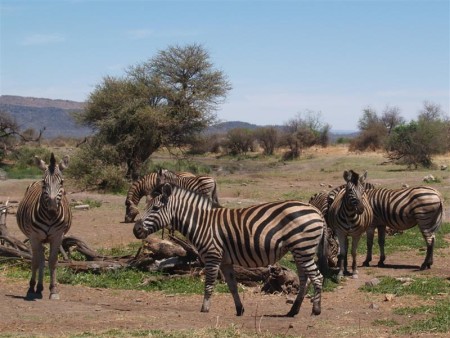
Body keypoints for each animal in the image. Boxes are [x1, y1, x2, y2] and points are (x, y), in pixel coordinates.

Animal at [15, 153, 71, 298]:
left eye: (62, 182)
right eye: (44, 183)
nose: (52, 210)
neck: (49, 218)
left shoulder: (57, 236)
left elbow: (52, 261)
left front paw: (53, 290)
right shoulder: (34, 237)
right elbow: (35, 261)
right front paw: (31, 288)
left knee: (42, 259)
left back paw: (40, 287)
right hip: (36, 238)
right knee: (38, 258)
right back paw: (37, 287)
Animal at [132, 182, 326, 316]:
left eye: (155, 208)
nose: (136, 230)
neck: (202, 223)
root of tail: (316, 210)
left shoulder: (212, 255)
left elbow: (209, 283)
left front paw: (204, 309)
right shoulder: (225, 261)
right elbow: (232, 286)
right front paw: (240, 309)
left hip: (303, 249)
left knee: (317, 277)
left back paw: (316, 310)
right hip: (300, 251)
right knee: (305, 280)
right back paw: (293, 311)